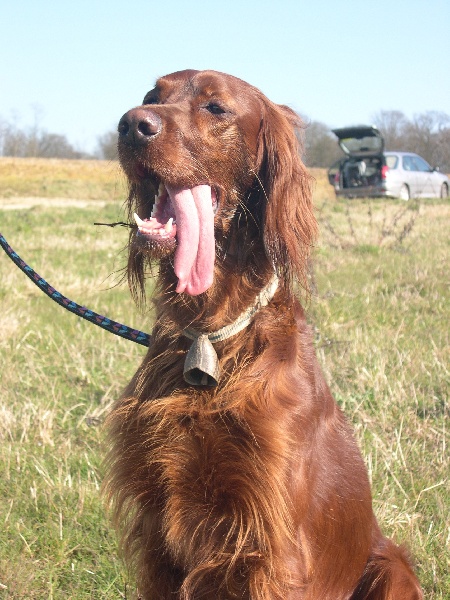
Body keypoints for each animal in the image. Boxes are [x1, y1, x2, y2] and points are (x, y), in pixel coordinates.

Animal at [105, 69, 422, 599]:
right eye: (152, 96)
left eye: (216, 107)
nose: (131, 124)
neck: (209, 335)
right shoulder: (159, 537)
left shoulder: (271, 547)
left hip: (391, 567)